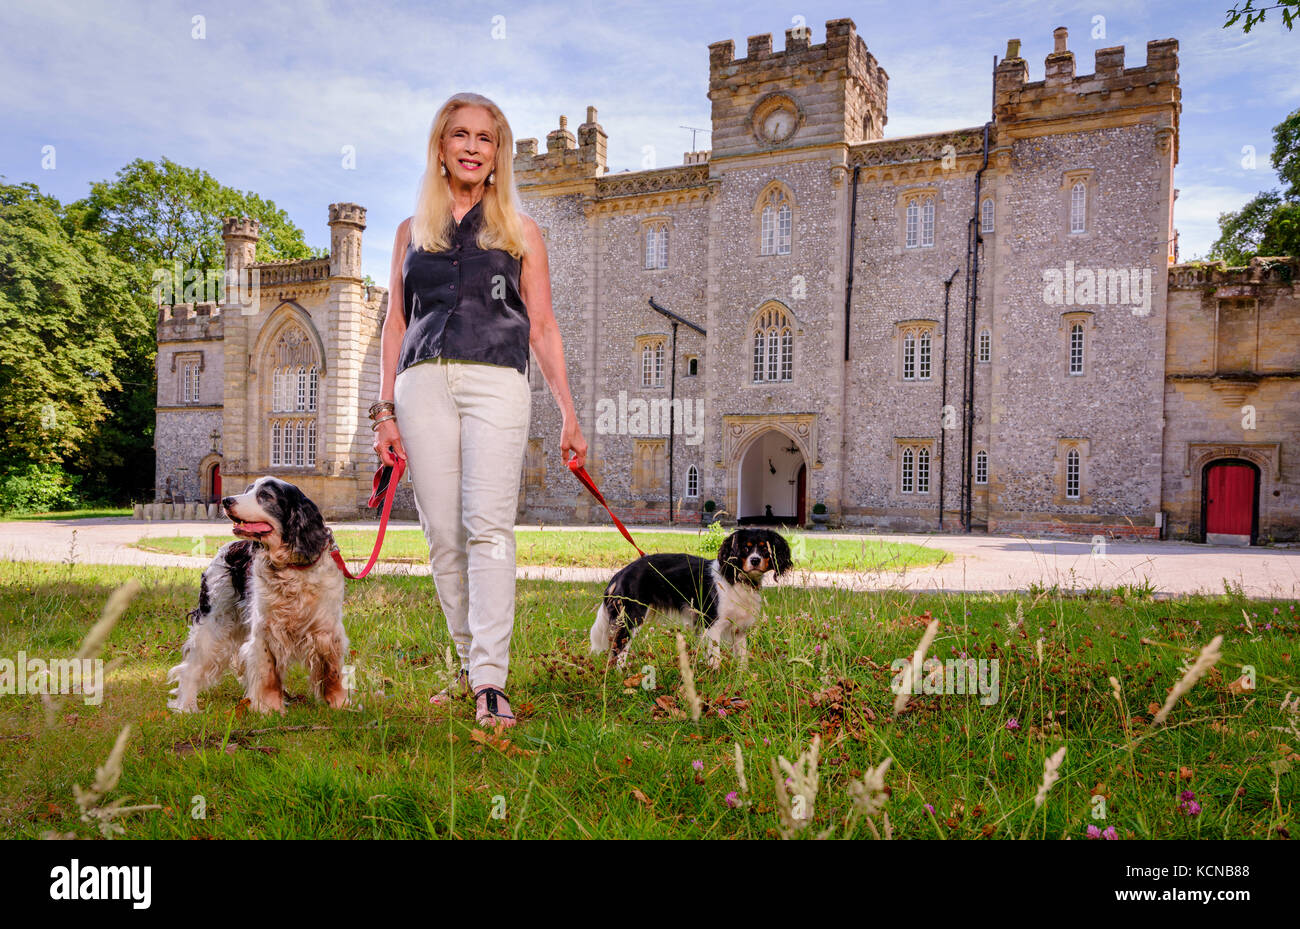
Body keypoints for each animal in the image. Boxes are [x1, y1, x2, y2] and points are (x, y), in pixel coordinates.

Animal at [167, 475, 351, 717]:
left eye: (265, 496)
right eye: (248, 490)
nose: (226, 500)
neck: (290, 567)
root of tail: (228, 547)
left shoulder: (326, 630)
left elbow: (333, 671)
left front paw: (339, 704)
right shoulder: (266, 630)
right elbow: (267, 673)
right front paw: (268, 709)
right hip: (214, 621)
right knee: (191, 667)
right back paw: (186, 706)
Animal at [590, 527, 790, 670]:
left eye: (764, 549)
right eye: (745, 548)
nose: (755, 560)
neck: (737, 579)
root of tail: (621, 573)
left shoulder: (739, 630)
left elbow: (742, 658)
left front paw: (743, 679)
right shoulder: (712, 625)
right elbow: (715, 658)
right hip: (632, 618)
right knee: (619, 649)